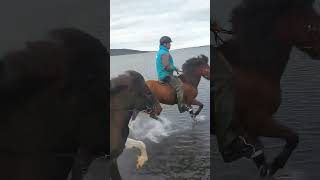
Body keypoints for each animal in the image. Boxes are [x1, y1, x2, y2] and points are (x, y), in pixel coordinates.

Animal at [212, 0, 320, 177]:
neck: (253, 68)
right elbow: (293, 137)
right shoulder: (258, 121)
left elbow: (260, 156)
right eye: (313, 25)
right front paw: (276, 164)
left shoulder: (250, 130)